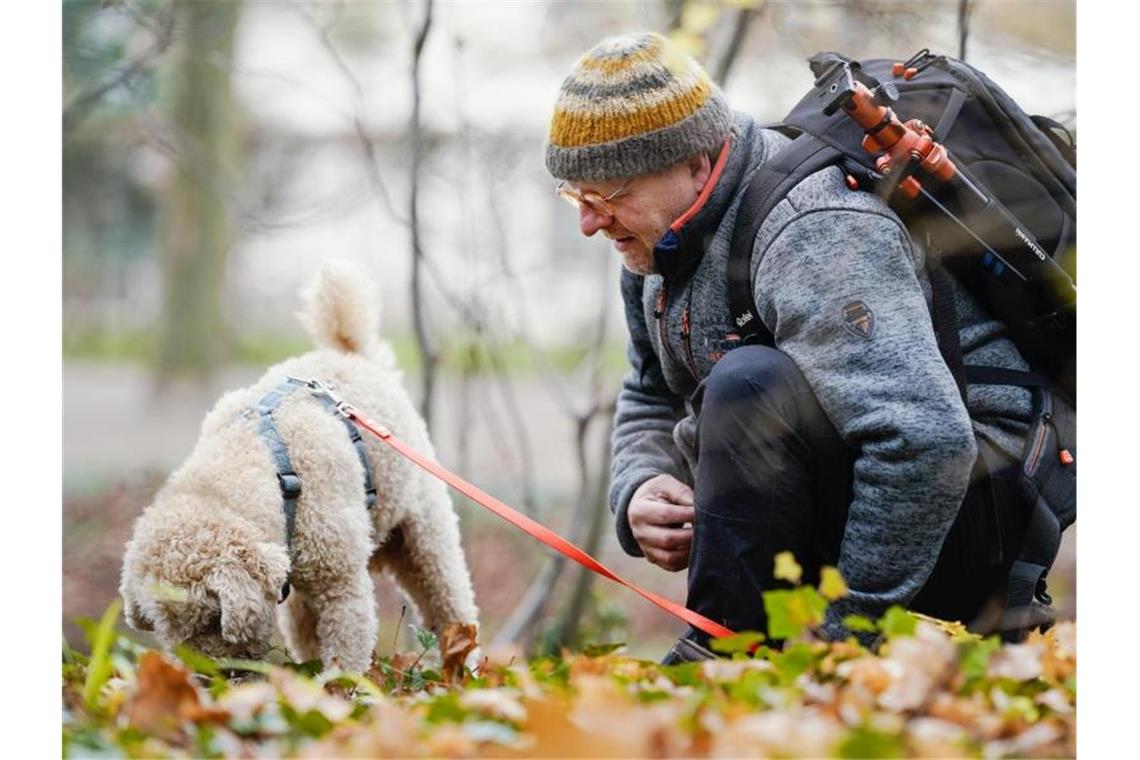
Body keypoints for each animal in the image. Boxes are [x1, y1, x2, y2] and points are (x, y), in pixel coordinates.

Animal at [120, 264, 481, 669]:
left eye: (214, 619)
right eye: (167, 629)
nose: (209, 674)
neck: (268, 465)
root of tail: (353, 355)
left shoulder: (342, 585)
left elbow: (346, 651)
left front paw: (339, 683)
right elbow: (309, 644)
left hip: (426, 535)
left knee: (449, 604)